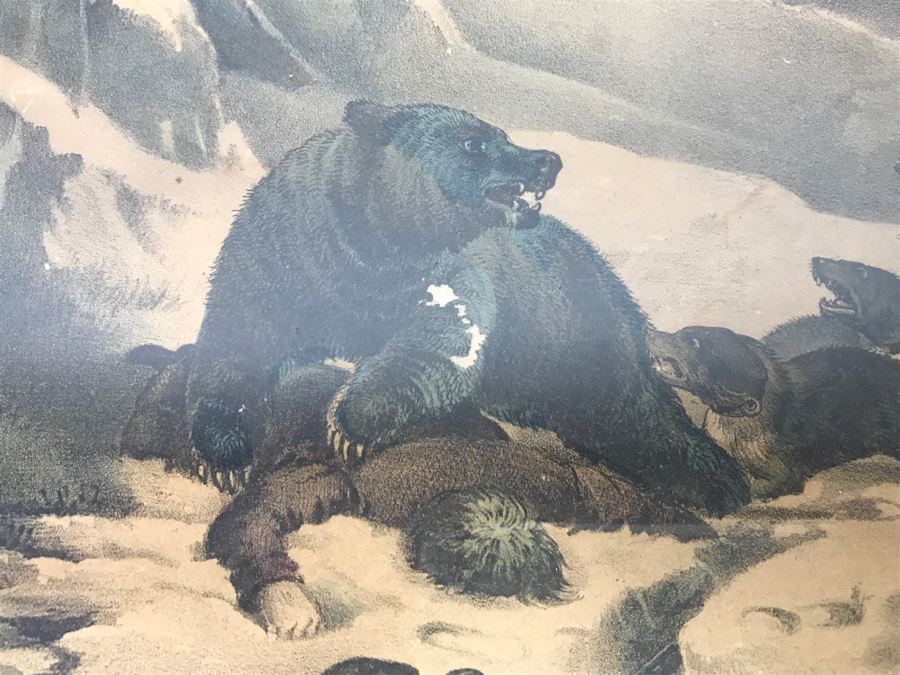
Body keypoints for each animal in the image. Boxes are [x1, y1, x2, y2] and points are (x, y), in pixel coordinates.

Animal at [186, 100, 562, 473]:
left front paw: (347, 422)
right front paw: (224, 451)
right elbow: (239, 332)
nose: (548, 160)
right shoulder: (284, 252)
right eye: (475, 143)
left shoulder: (449, 273)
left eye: (503, 135)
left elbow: (442, 341)